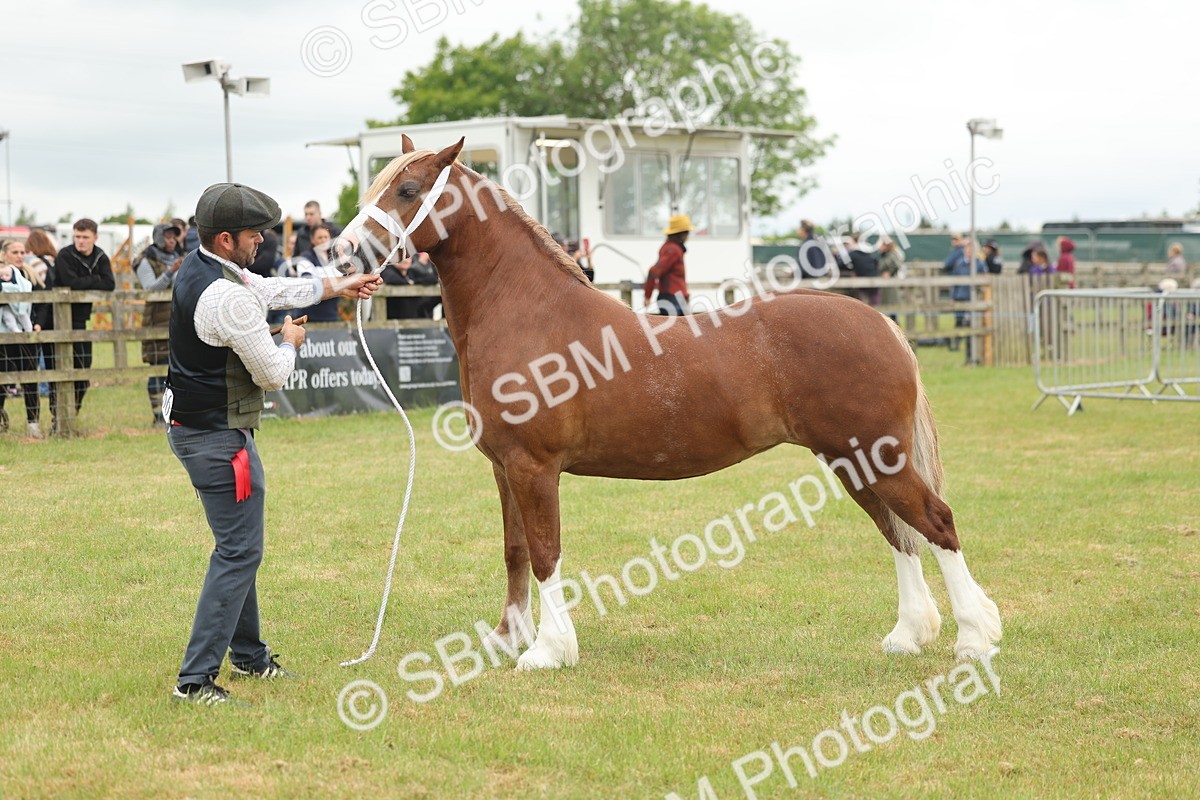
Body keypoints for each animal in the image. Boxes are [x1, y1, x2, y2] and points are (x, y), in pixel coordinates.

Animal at [339, 136, 1002, 669]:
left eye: (407, 189)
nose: (345, 254)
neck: (528, 311)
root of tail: (880, 322)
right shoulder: (506, 468)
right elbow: (516, 552)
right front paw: (508, 639)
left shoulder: (534, 467)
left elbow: (547, 554)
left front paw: (549, 651)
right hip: (852, 462)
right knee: (898, 533)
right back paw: (907, 636)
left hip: (879, 457)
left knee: (935, 522)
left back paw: (973, 639)